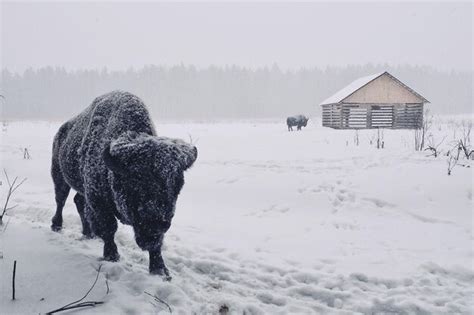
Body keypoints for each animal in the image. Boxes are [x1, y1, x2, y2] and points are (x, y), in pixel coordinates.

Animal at [49, 90, 195, 280]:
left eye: (178, 184)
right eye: (135, 182)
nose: (156, 221)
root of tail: (61, 131)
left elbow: (158, 243)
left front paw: (160, 270)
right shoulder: (99, 202)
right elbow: (109, 228)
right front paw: (112, 255)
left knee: (78, 202)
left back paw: (88, 233)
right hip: (59, 175)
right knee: (61, 200)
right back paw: (57, 226)